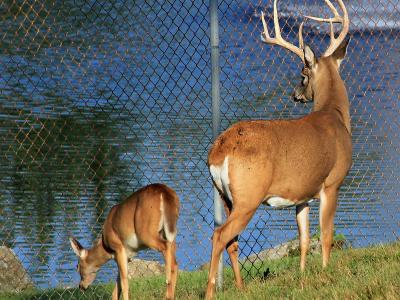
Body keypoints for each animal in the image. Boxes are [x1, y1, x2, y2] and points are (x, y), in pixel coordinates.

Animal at [205, 1, 352, 298]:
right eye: (303, 74)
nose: (295, 95)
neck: (335, 116)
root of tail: (218, 151)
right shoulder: (332, 183)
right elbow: (326, 234)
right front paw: (326, 272)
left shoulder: (302, 194)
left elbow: (304, 238)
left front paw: (303, 276)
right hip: (248, 196)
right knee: (220, 235)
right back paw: (211, 291)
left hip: (226, 197)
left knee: (231, 240)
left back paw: (241, 287)